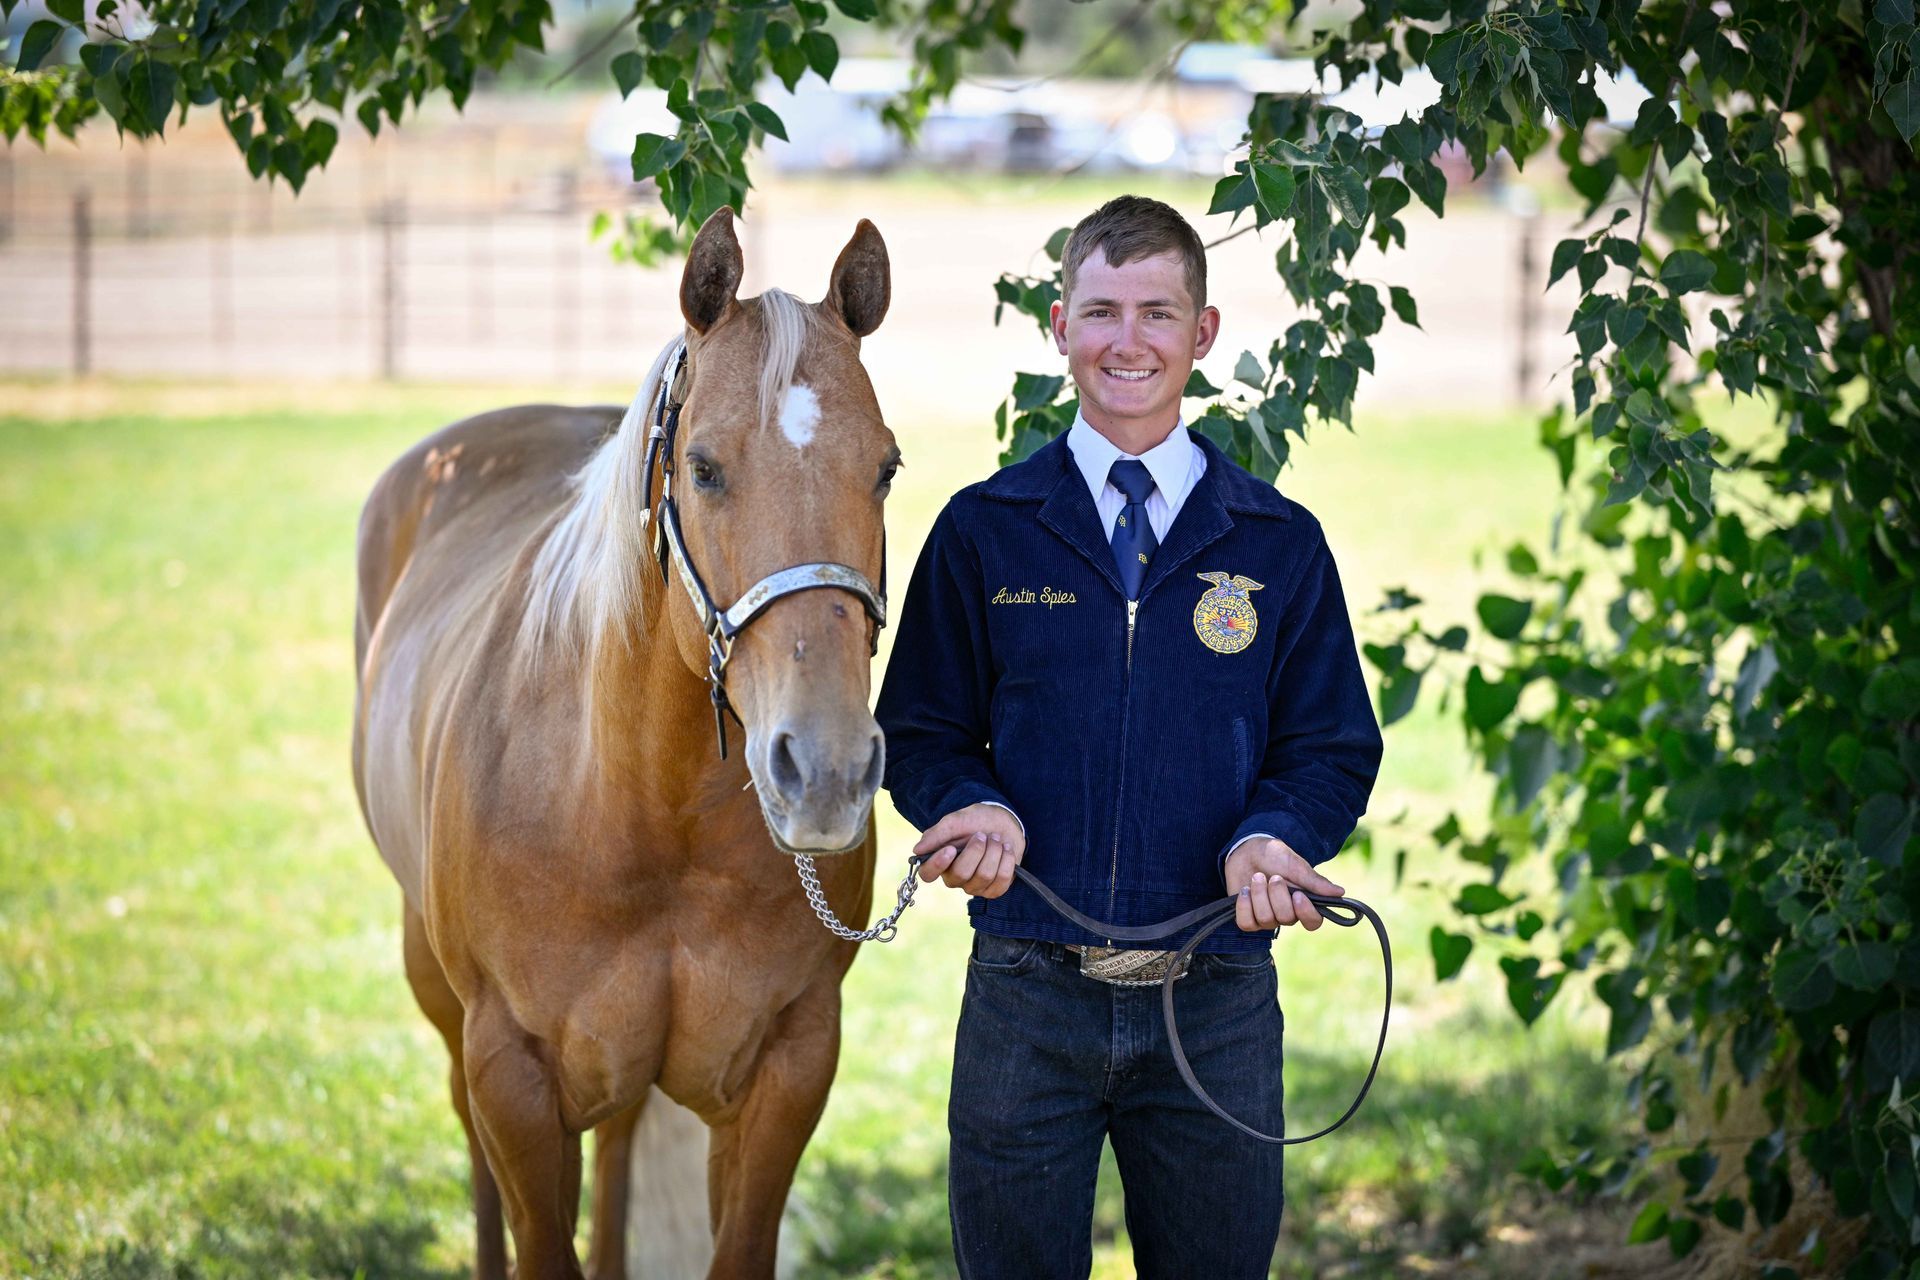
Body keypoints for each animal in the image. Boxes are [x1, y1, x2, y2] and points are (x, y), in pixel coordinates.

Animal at [350, 208, 895, 1279]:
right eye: (705, 467)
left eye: (886, 469)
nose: (827, 772)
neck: (642, 810)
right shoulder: (511, 1074)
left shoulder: (789, 1065)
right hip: (436, 987)